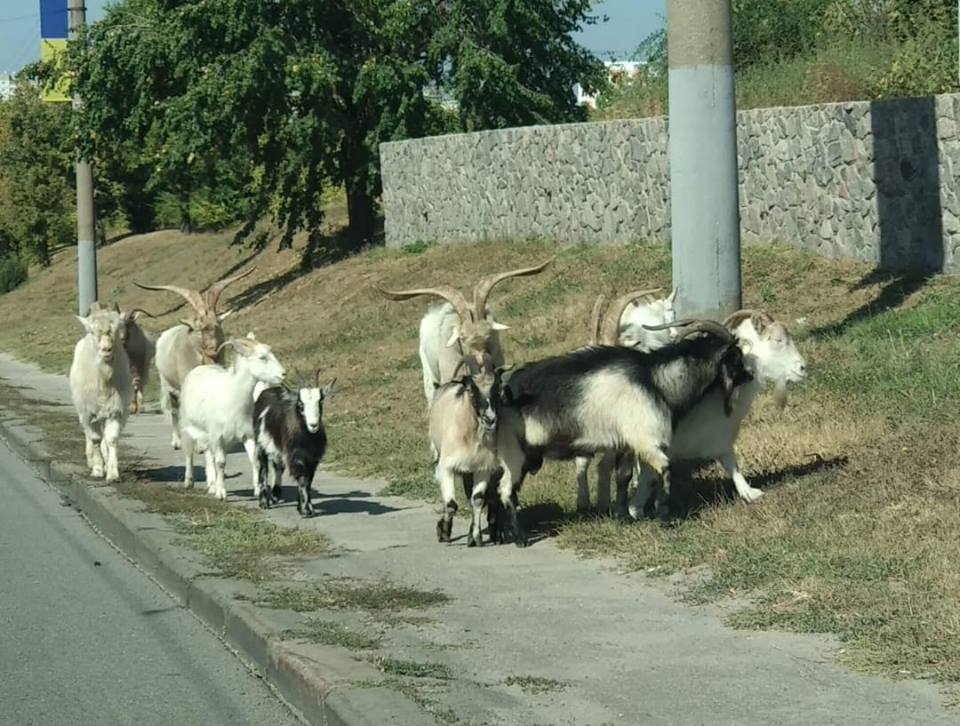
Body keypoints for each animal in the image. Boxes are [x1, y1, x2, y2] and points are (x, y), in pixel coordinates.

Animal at [69, 302, 133, 484]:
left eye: (117, 329)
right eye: (92, 331)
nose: (106, 350)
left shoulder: (115, 410)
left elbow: (111, 439)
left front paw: (112, 473)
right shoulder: (88, 412)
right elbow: (95, 439)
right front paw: (97, 469)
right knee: (89, 435)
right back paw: (91, 460)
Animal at [179, 334, 284, 500]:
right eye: (262, 357)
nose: (283, 374)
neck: (233, 397)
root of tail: (199, 368)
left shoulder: (247, 435)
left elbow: (255, 461)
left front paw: (257, 490)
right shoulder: (217, 435)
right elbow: (221, 463)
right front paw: (221, 493)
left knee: (209, 455)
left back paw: (211, 484)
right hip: (187, 425)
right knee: (189, 452)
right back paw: (189, 481)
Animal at [251, 370, 334, 516]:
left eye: (320, 402)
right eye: (300, 404)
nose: (313, 425)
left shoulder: (312, 457)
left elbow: (309, 479)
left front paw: (303, 506)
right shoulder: (295, 455)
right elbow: (302, 477)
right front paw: (306, 509)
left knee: (278, 466)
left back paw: (275, 494)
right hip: (261, 443)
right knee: (263, 468)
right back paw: (264, 502)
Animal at [492, 322, 752, 544]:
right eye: (736, 356)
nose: (749, 376)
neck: (654, 380)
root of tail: (502, 391)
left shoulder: (625, 444)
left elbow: (623, 478)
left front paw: (624, 516)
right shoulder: (646, 440)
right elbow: (666, 469)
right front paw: (664, 517)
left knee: (504, 490)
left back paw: (506, 533)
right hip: (515, 453)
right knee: (506, 490)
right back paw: (520, 538)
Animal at [628, 310, 808, 520]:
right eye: (778, 340)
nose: (803, 368)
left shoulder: (720, 439)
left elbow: (731, 464)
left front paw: (750, 493)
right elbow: (648, 476)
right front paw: (638, 510)